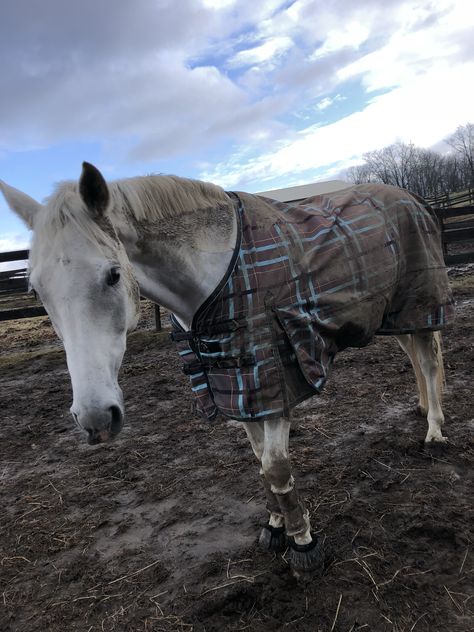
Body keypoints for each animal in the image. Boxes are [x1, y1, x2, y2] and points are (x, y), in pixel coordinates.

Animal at [0, 164, 454, 576]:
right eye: (36, 290)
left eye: (113, 275)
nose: (95, 418)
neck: (213, 279)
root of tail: (412, 199)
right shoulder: (235, 383)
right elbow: (259, 464)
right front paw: (275, 527)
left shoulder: (272, 381)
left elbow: (276, 467)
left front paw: (303, 544)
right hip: (390, 313)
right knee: (413, 354)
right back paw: (420, 409)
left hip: (420, 303)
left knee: (429, 360)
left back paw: (434, 430)